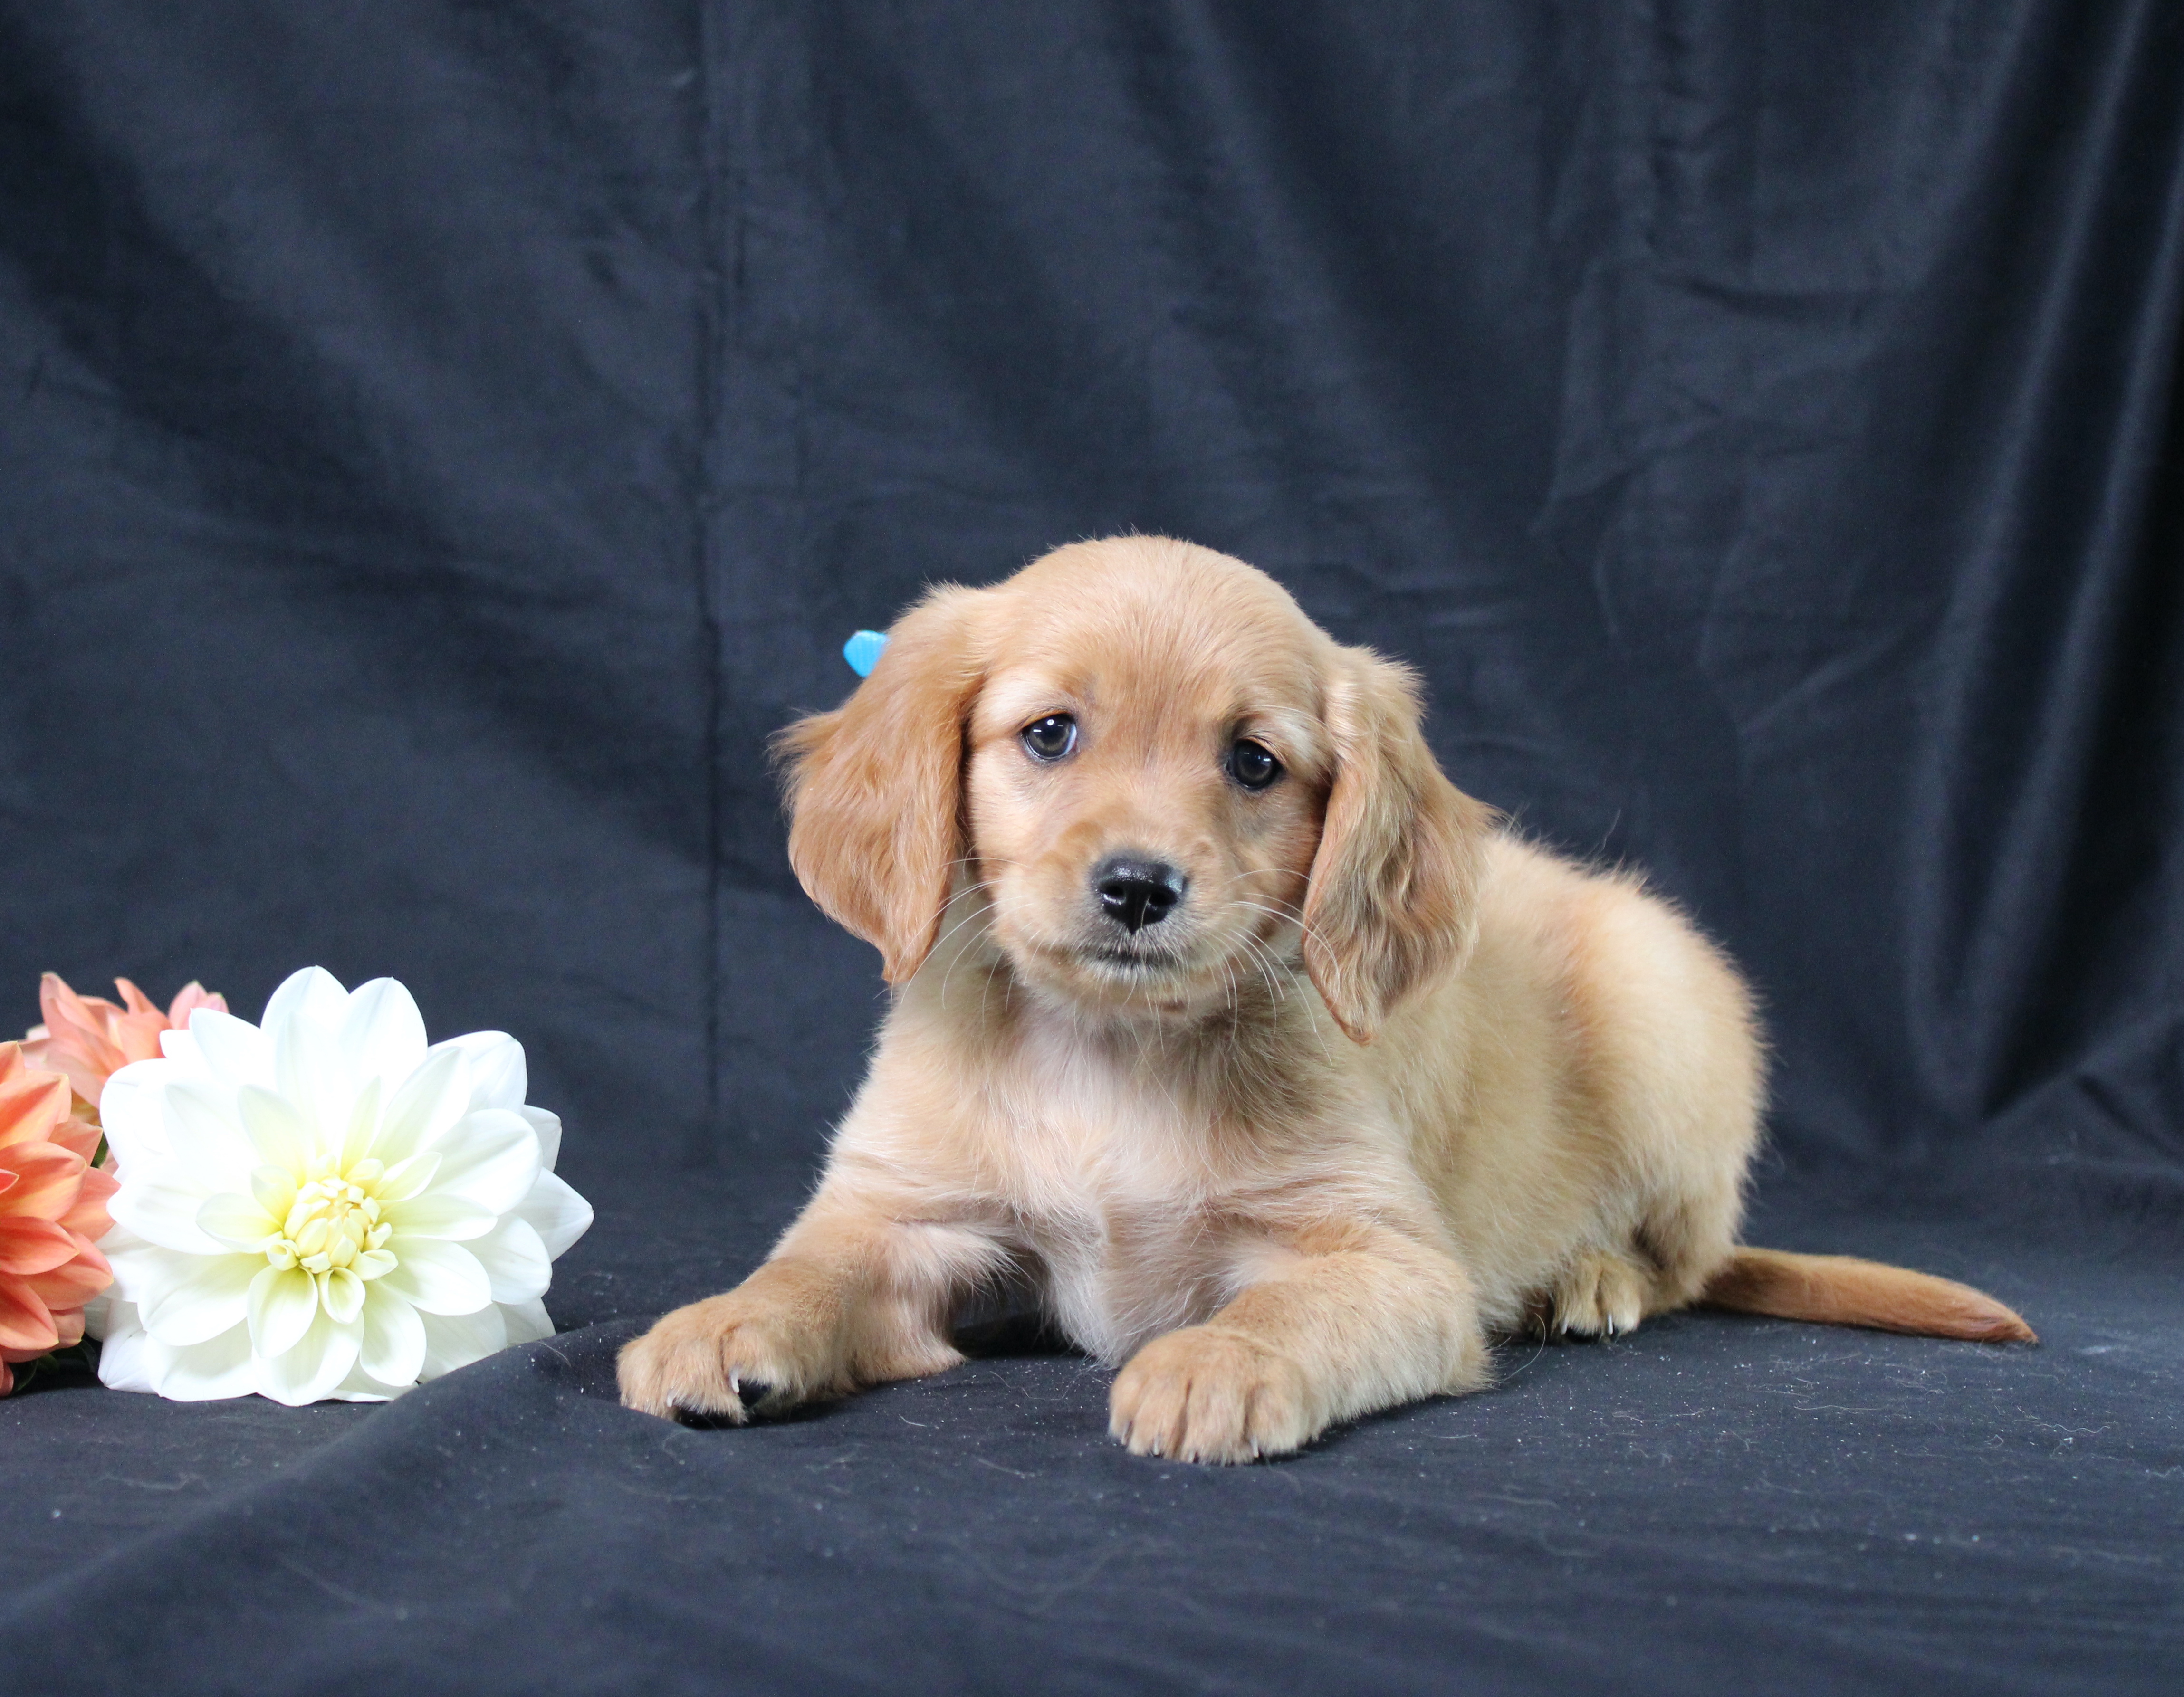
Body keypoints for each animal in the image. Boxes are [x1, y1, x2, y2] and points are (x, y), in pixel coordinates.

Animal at [620, 533, 2027, 1459]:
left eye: (1253, 763)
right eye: (1049, 734)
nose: (1138, 887)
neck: (1112, 1054)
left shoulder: (1389, 1258)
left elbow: (1286, 1304)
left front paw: (1212, 1365)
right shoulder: (907, 1214)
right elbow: (809, 1269)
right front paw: (723, 1322)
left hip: (1665, 1011)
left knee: (1681, 1259)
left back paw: (1588, 1278)